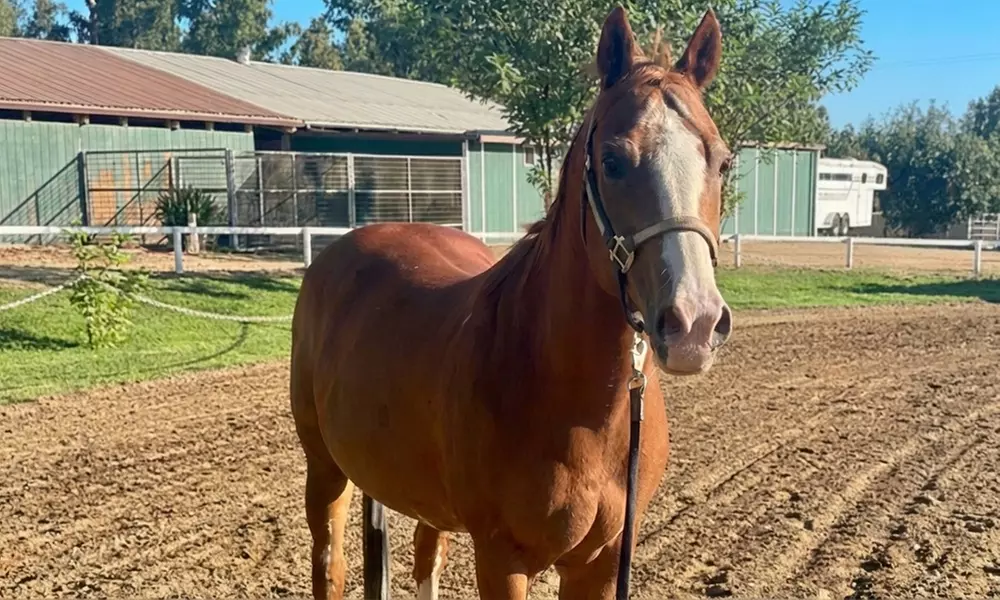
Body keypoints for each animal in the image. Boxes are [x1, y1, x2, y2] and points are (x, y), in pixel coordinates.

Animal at [289, 6, 733, 599]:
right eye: (613, 160)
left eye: (723, 163)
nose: (694, 323)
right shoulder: (501, 559)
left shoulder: (600, 563)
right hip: (325, 471)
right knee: (330, 565)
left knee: (426, 557)